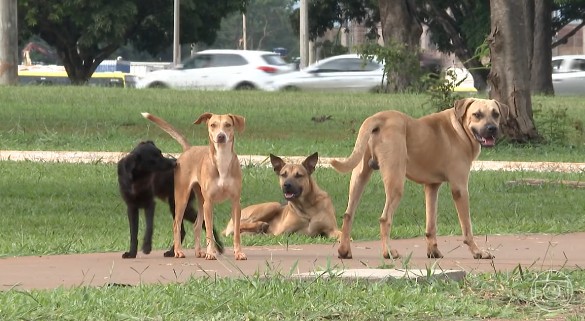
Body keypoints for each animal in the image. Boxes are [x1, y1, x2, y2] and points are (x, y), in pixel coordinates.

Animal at [142, 111, 246, 258]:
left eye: (228, 125)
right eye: (213, 125)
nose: (221, 136)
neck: (222, 160)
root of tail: (188, 149)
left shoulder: (236, 202)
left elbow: (236, 231)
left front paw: (238, 253)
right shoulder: (209, 203)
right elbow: (209, 231)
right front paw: (211, 253)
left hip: (200, 200)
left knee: (196, 225)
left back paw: (198, 251)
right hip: (182, 198)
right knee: (176, 224)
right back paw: (178, 251)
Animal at [330, 97, 508, 260]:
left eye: (496, 114)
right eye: (477, 114)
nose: (492, 128)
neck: (460, 129)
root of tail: (379, 117)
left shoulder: (431, 187)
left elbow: (431, 224)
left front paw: (433, 251)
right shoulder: (460, 188)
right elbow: (467, 226)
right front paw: (477, 251)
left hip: (359, 177)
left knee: (348, 215)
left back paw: (344, 251)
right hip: (395, 182)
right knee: (385, 218)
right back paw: (388, 252)